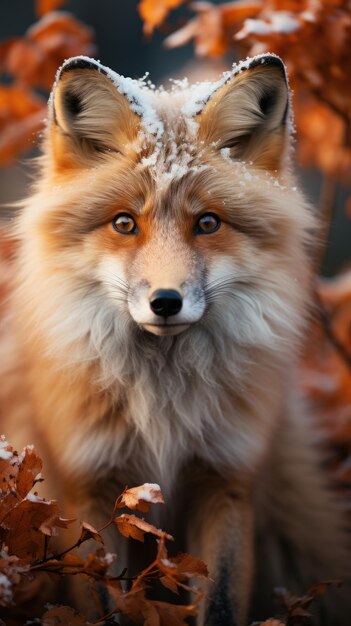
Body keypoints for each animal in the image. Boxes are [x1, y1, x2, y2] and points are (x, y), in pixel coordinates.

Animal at [0, 54, 350, 624]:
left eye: (207, 223)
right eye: (124, 223)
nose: (165, 302)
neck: (162, 409)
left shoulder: (227, 483)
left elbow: (222, 600)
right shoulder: (85, 489)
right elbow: (103, 601)